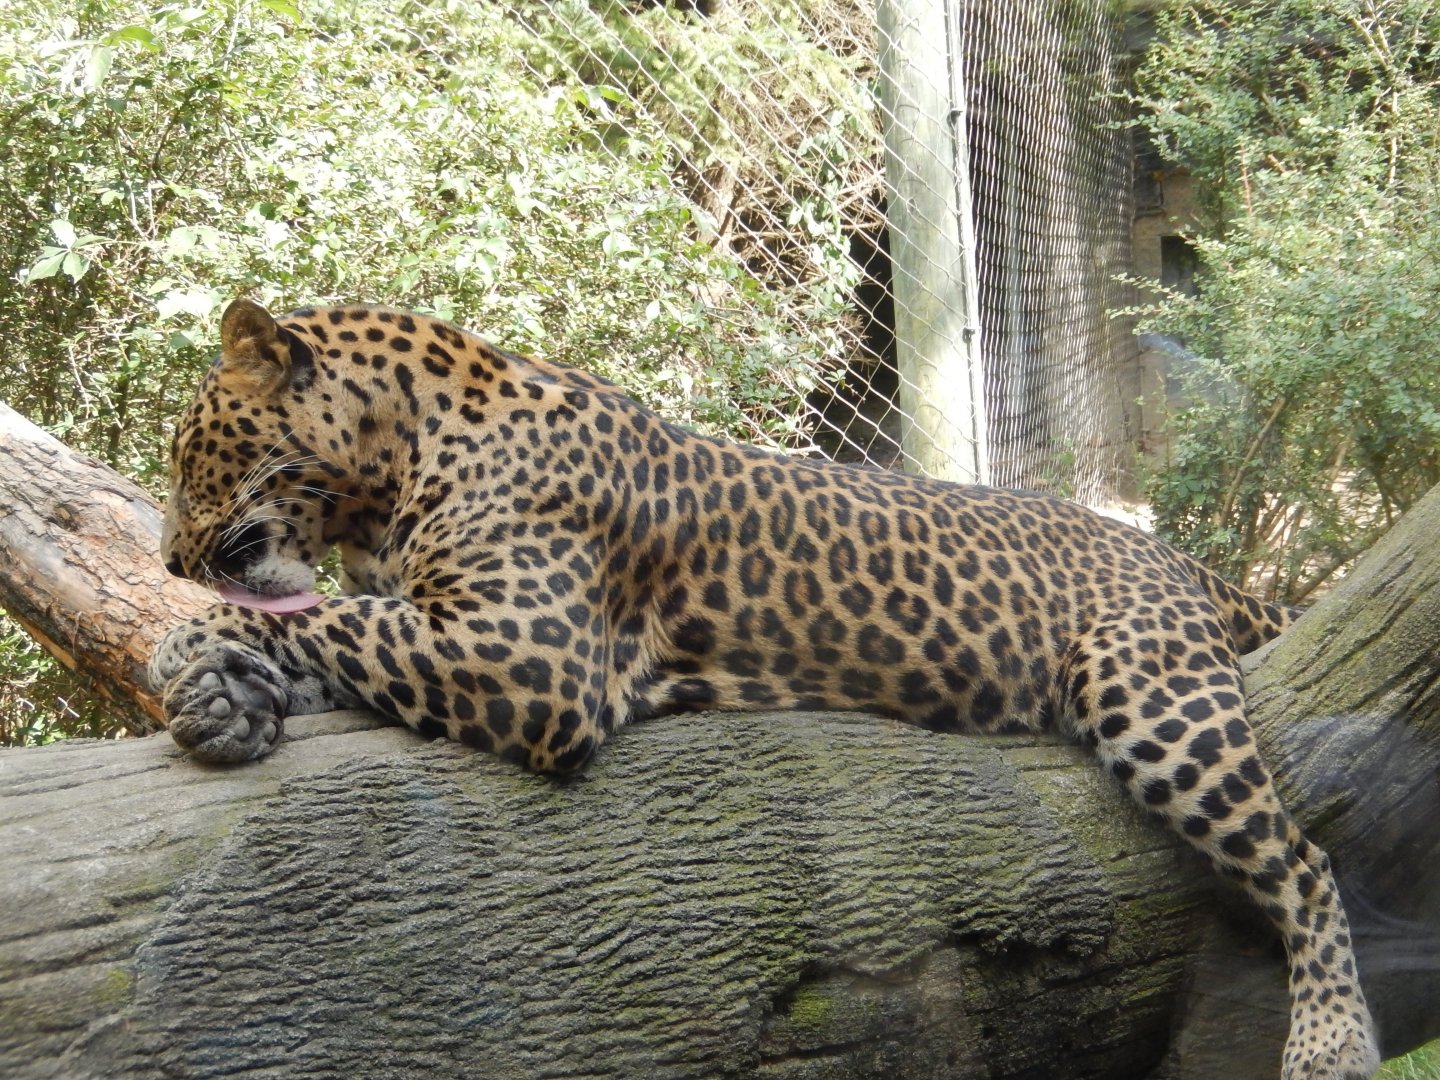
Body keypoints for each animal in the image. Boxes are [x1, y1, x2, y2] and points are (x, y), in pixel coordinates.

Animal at [152, 297, 1381, 1079]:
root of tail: (1178, 558)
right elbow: (331, 638)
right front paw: (224, 696)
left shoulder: (530, 652)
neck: (393, 465)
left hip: (1152, 694)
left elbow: (336, 623)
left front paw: (191, 643)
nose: (163, 556)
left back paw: (1332, 1042)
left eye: (183, 454)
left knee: (1306, 864)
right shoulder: (452, 629)